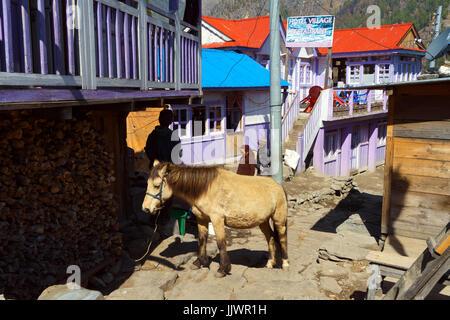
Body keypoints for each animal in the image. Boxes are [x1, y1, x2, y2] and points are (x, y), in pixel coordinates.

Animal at [142, 160, 288, 278]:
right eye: (147, 183)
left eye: (156, 185)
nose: (145, 208)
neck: (204, 188)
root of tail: (278, 186)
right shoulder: (201, 219)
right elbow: (202, 240)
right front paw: (199, 262)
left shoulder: (217, 219)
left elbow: (221, 243)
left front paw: (223, 269)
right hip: (263, 221)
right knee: (270, 237)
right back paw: (270, 263)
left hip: (278, 219)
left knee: (282, 237)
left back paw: (285, 264)